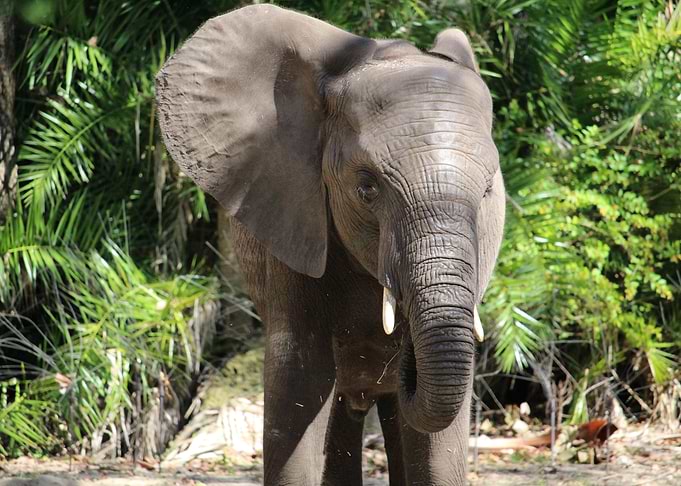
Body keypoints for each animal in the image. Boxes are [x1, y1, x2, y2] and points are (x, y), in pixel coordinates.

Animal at [156, 4, 505, 485]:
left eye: (488, 190)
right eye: (366, 186)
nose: (406, 355)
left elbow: (438, 445)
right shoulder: (293, 220)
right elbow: (299, 378)